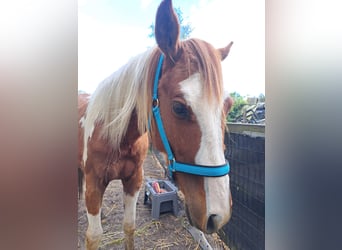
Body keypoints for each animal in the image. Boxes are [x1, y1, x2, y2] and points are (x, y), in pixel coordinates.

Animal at [79, 0, 235, 249]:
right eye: (178, 108)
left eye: (228, 105)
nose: (218, 215)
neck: (115, 135)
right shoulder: (94, 185)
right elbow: (93, 236)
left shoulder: (134, 181)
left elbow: (129, 226)